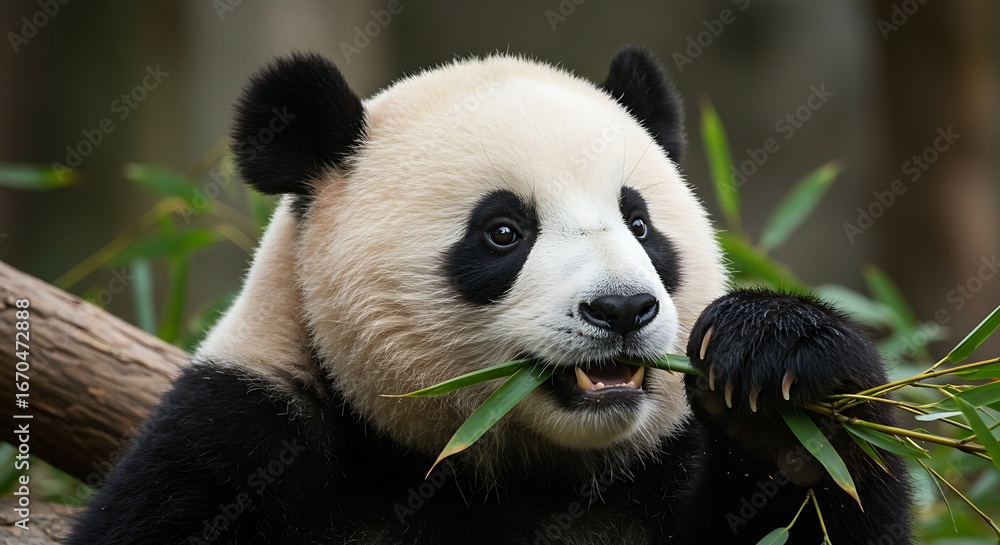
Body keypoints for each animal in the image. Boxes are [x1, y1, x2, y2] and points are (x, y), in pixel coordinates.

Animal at [67, 47, 912, 544]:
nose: (621, 309)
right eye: (503, 231)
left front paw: (778, 392)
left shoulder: (656, 470)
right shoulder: (239, 441)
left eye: (640, 223)